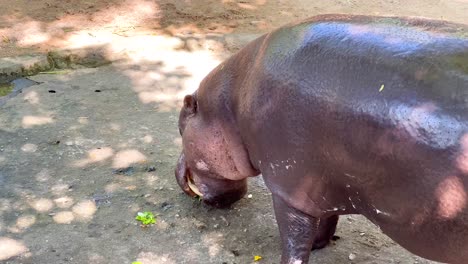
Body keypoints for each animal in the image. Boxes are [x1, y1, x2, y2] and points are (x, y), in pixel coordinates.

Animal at [175, 14, 468, 264]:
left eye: (181, 125)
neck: (231, 105)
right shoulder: (324, 184)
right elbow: (328, 218)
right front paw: (320, 244)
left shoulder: (289, 189)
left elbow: (294, 239)